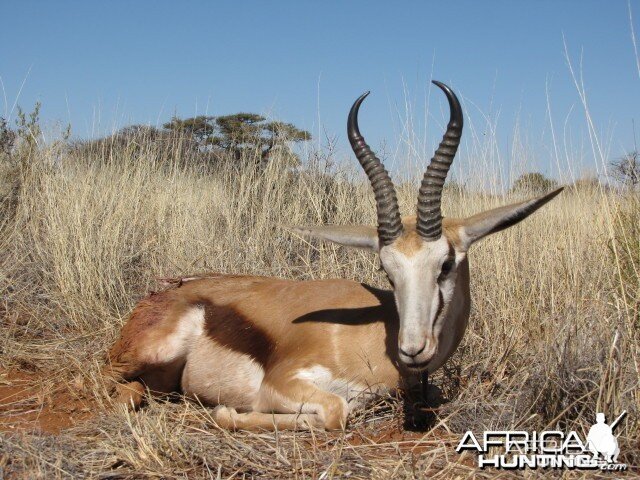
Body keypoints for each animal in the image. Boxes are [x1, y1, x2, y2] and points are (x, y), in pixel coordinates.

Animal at [107, 81, 564, 432]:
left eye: (445, 265)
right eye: (386, 269)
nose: (413, 349)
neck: (377, 338)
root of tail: (160, 296)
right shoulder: (282, 383)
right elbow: (334, 410)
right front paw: (227, 412)